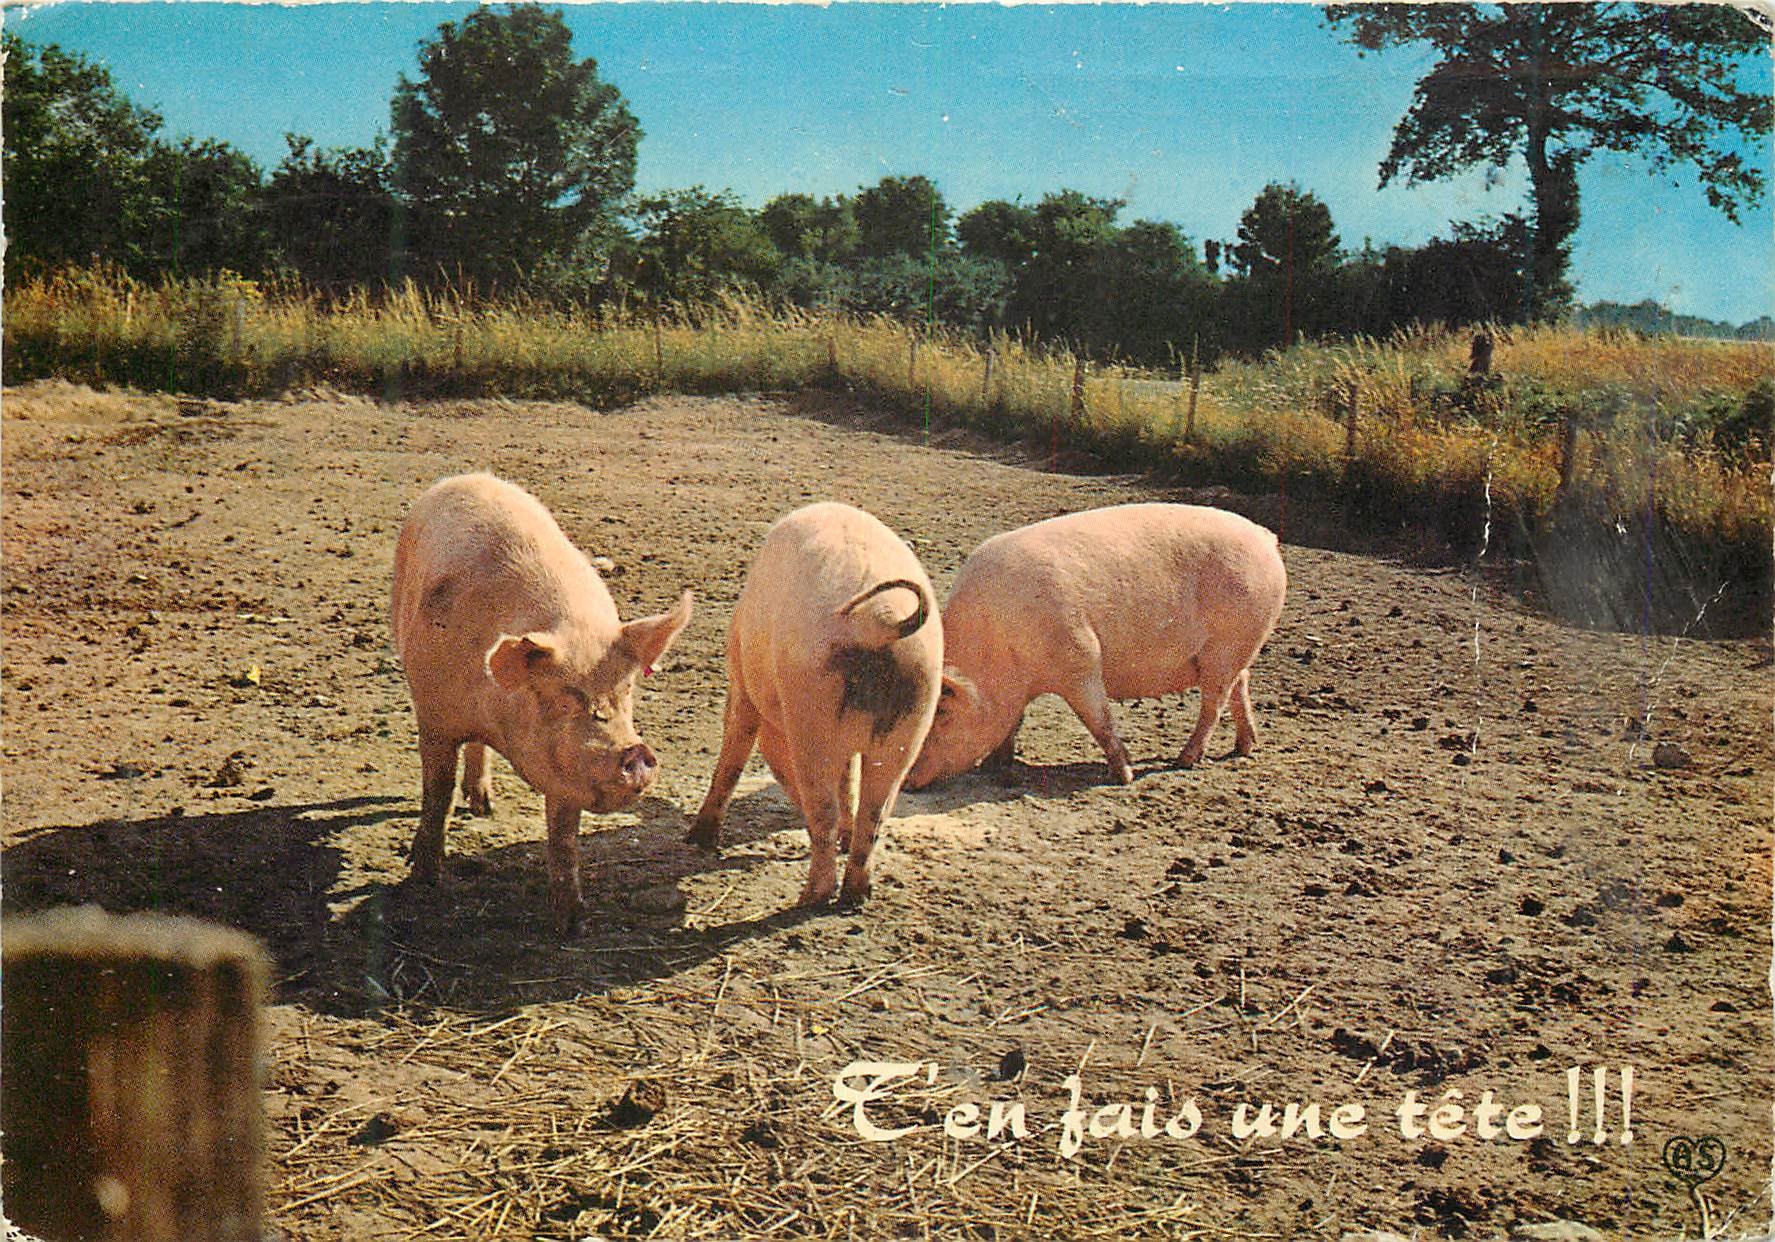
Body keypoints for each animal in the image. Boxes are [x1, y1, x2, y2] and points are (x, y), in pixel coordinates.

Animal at [390, 473, 692, 935]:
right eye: (565, 699)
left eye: (625, 690)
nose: (636, 753)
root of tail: (466, 477)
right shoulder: (434, 715)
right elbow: (437, 792)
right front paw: (423, 877)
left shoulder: (565, 769)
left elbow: (564, 836)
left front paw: (572, 923)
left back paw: (484, 806)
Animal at [688, 503, 941, 908]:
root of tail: (879, 621)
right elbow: (850, 781)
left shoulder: (742, 685)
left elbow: (733, 752)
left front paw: (697, 840)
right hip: (916, 708)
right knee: (876, 808)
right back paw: (855, 894)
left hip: (813, 716)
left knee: (823, 808)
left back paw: (810, 897)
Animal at [905, 503, 1286, 790]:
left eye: (941, 714)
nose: (905, 782)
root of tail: (1264, 537)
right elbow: (1015, 721)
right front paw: (996, 767)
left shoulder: (1081, 659)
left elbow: (1100, 720)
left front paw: (1124, 777)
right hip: (1238, 650)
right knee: (1240, 687)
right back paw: (1243, 749)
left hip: (1227, 646)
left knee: (1214, 703)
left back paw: (1184, 760)